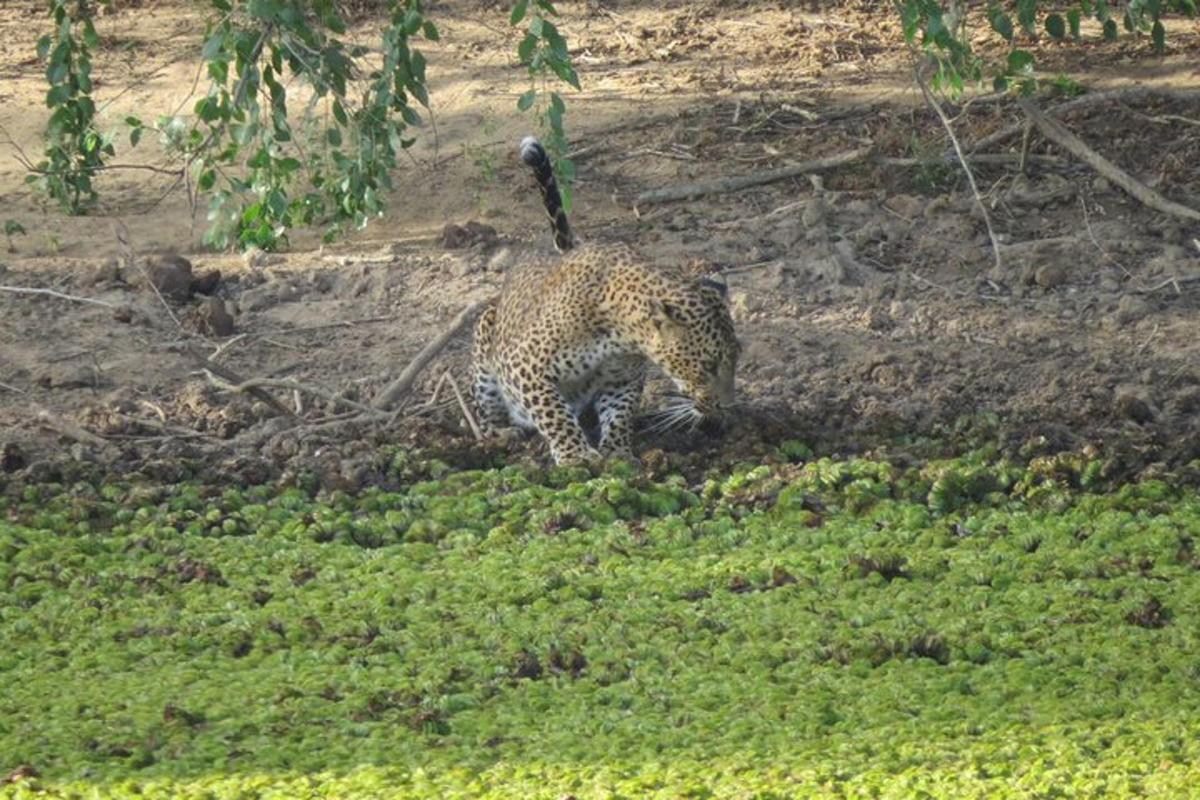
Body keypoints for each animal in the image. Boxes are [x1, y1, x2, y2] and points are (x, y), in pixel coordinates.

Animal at [470, 135, 739, 465]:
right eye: (707, 366)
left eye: (736, 359)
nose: (728, 406)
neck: (620, 335)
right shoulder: (525, 366)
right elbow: (553, 413)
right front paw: (575, 455)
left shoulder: (623, 379)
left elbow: (620, 413)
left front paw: (618, 452)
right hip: (485, 345)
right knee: (487, 410)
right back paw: (501, 433)